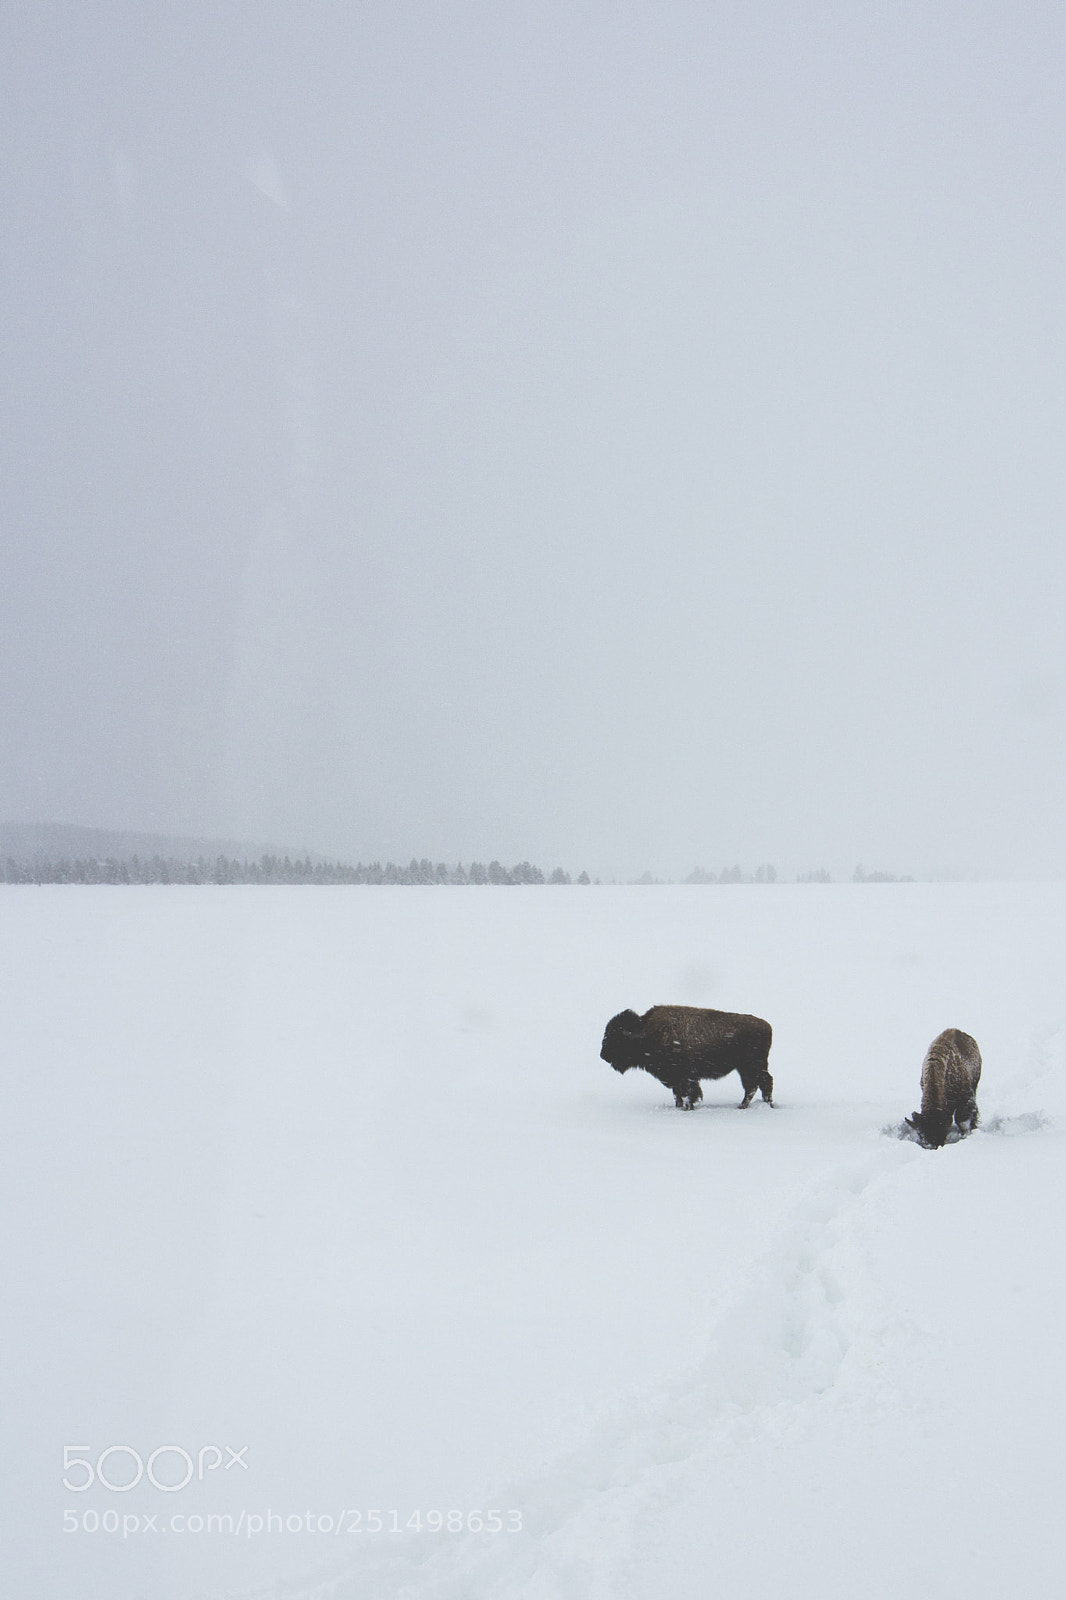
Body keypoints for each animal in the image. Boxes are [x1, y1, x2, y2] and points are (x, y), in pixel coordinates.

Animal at [600, 1004, 774, 1109]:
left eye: (616, 1038)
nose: (602, 1055)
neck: (645, 1032)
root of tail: (766, 1026)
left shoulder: (685, 1076)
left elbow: (689, 1093)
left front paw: (687, 1108)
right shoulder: (675, 1078)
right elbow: (678, 1094)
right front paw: (679, 1106)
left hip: (751, 1066)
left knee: (758, 1084)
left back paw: (746, 1106)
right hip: (748, 1068)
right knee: (757, 1085)